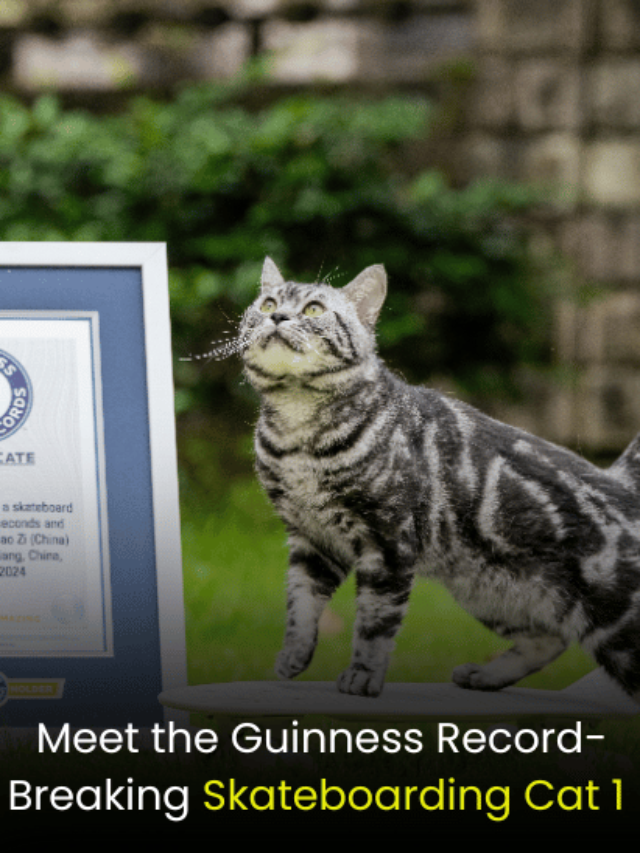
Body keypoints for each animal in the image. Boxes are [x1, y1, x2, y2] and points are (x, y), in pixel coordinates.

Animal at [238, 256, 640, 696]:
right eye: (268, 303)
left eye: (313, 309)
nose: (277, 316)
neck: (297, 438)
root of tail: (619, 481)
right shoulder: (312, 542)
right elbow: (301, 607)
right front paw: (293, 656)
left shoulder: (387, 543)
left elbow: (375, 623)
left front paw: (362, 674)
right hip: (487, 593)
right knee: (549, 639)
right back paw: (485, 675)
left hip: (616, 627)